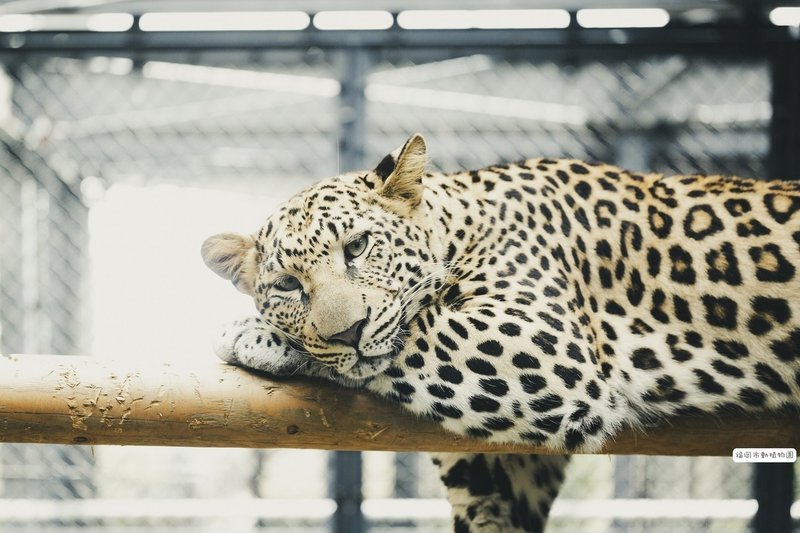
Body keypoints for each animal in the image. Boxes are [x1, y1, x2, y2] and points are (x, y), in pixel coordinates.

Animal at [200, 134, 800, 532]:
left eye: (358, 247)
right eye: (286, 285)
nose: (348, 332)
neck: (464, 221)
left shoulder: (540, 344)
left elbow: (414, 331)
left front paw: (252, 334)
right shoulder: (515, 468)